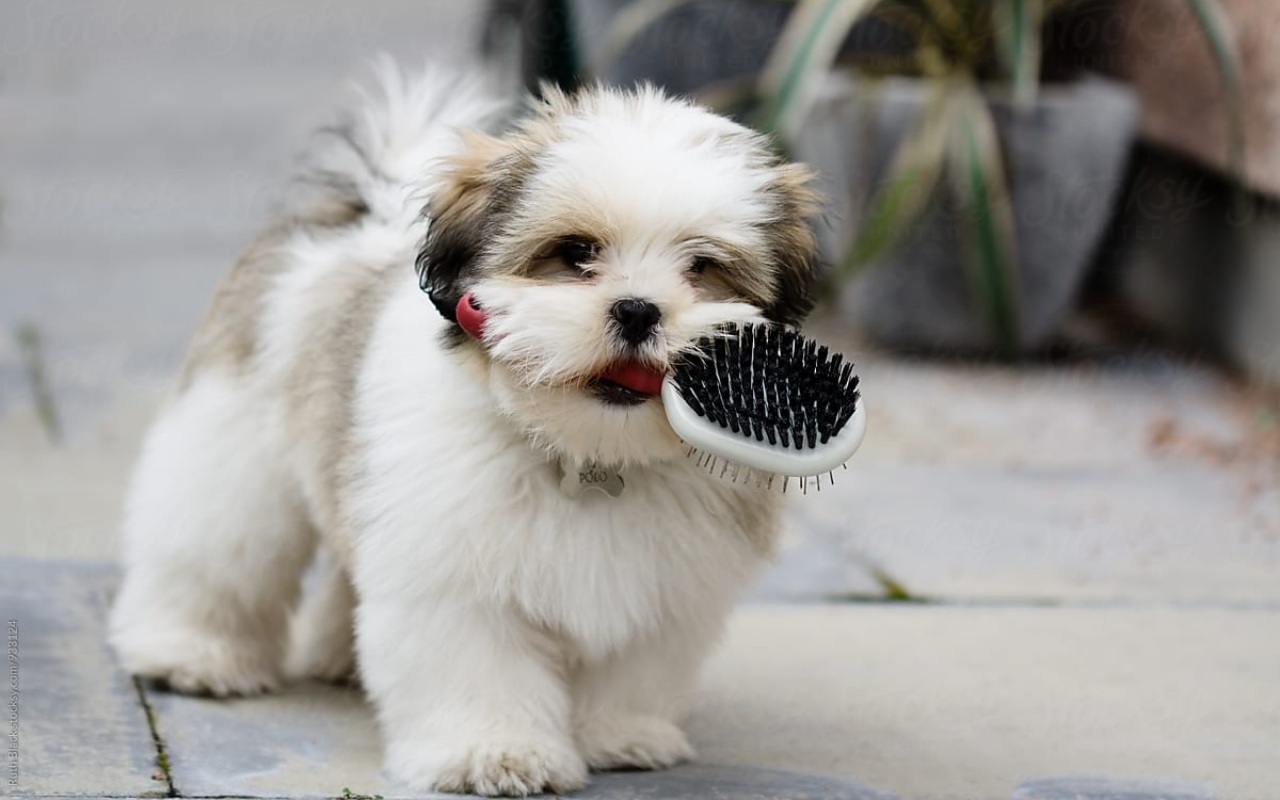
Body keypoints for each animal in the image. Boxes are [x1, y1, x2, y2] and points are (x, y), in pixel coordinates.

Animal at [110, 62, 819, 793]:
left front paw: (621, 734)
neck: (584, 453)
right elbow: (478, 665)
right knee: (218, 549)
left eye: (702, 267)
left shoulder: (665, 588)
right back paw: (191, 651)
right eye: (575, 253)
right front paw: (494, 752)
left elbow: (633, 667)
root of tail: (363, 212)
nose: (638, 310)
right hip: (236, 443)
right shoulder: (456, 577)